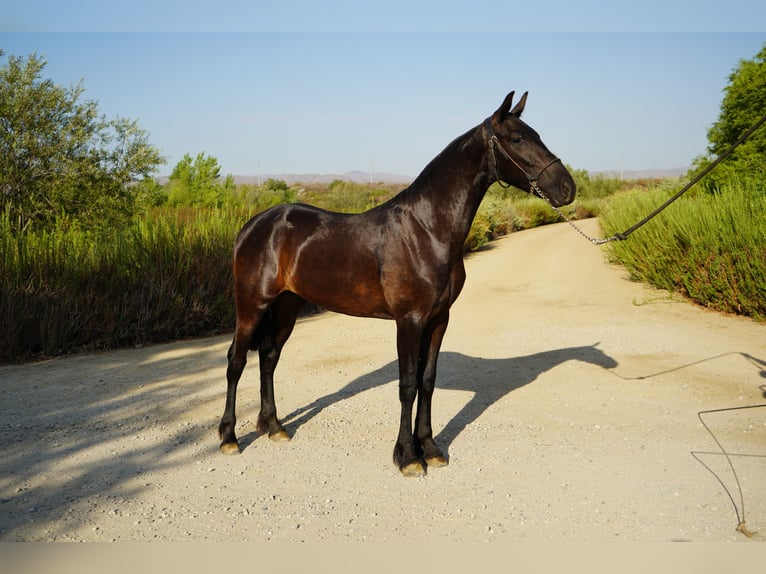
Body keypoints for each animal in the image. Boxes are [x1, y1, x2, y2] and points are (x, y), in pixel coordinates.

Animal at [218, 91, 576, 476]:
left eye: (536, 134)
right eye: (517, 138)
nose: (567, 188)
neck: (427, 228)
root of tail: (254, 225)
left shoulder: (438, 320)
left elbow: (427, 382)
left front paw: (430, 449)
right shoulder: (409, 320)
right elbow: (407, 385)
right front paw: (407, 456)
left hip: (287, 305)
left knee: (269, 357)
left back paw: (275, 427)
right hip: (252, 305)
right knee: (236, 360)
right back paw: (228, 437)